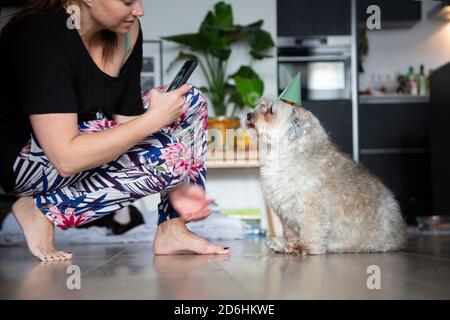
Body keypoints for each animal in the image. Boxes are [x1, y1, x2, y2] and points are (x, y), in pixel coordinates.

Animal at [246, 97, 408, 255]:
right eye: (260, 106)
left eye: (271, 111)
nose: (248, 115)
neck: (287, 152)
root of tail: (401, 235)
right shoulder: (285, 212)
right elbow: (292, 232)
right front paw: (289, 245)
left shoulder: (311, 206)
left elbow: (311, 229)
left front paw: (305, 247)